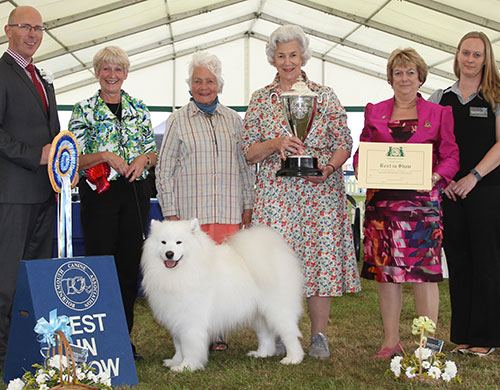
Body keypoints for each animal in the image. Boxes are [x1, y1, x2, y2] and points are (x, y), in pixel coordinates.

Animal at [141, 219, 304, 372]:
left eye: (178, 242)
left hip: (277, 310)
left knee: (290, 334)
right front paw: (175, 361)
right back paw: (261, 354)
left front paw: (186, 367)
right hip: (258, 314)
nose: (169, 253)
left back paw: (293, 358)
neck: (183, 272)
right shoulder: (175, 318)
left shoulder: (190, 322)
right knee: (266, 334)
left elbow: (189, 347)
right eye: (163, 242)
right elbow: (178, 345)